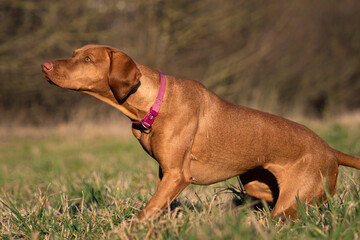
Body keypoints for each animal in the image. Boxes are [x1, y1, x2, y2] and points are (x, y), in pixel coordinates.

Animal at [42, 44, 360, 219]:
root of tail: (330, 150)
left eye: (87, 60)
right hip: (258, 185)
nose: (44, 65)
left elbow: (146, 211)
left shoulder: (177, 174)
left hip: (292, 203)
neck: (154, 102)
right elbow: (160, 207)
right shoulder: (165, 174)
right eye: (74, 54)